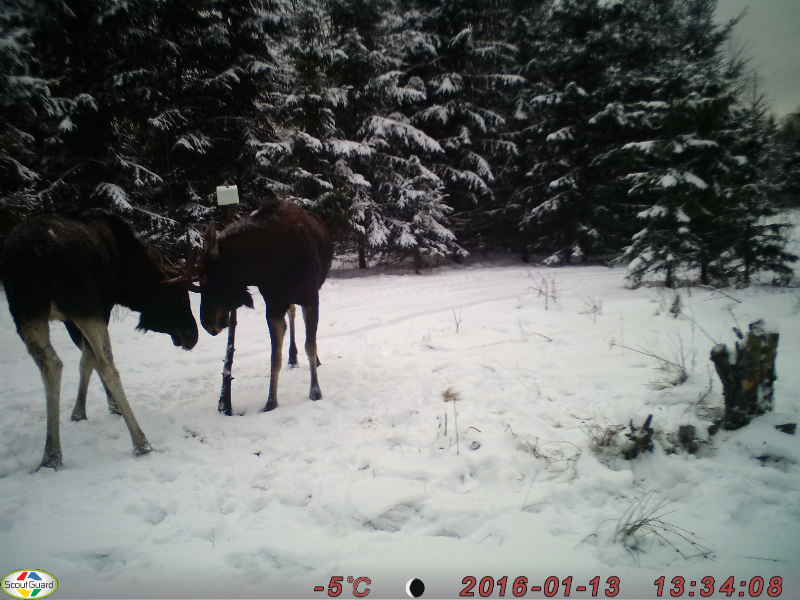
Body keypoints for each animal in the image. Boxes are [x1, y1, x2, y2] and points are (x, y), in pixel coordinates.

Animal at [1, 209, 198, 469]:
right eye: (177, 296)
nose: (193, 336)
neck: (126, 276)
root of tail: (38, 248)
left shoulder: (70, 319)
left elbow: (86, 360)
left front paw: (80, 411)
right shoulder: (99, 308)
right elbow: (92, 359)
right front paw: (109, 406)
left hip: (26, 311)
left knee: (51, 364)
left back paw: (51, 454)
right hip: (82, 304)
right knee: (107, 365)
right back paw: (140, 442)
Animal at [192, 199, 333, 414]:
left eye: (210, 277)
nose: (207, 324)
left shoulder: (310, 297)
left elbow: (310, 345)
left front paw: (315, 391)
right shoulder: (273, 306)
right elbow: (275, 356)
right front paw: (271, 401)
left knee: (306, 332)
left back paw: (313, 359)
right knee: (292, 314)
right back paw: (293, 356)